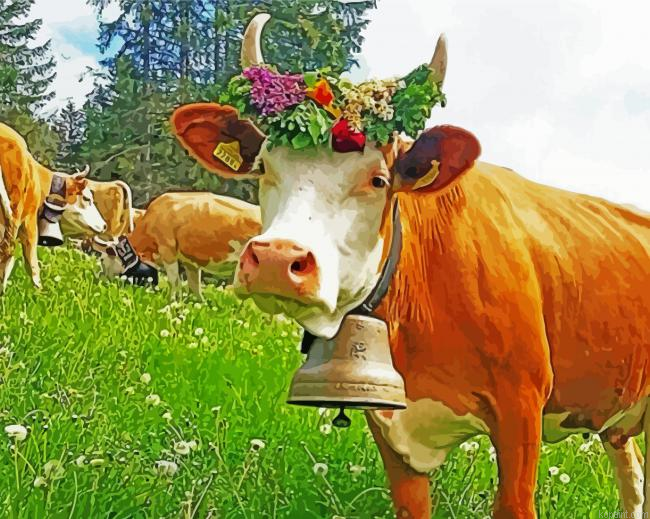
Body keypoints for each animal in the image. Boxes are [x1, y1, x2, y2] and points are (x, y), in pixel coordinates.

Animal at [0, 122, 106, 293]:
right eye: (87, 198)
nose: (104, 225)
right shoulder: (29, 222)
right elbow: (32, 264)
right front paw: (39, 292)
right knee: (7, 250)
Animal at [96, 192, 261, 298]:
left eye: (102, 259)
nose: (101, 280)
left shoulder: (167, 250)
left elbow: (174, 282)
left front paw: (172, 303)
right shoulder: (190, 262)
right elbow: (194, 287)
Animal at [169, 14, 650, 519]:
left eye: (378, 180)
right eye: (263, 168)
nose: (277, 259)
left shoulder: (522, 408)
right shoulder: (389, 421)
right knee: (632, 476)